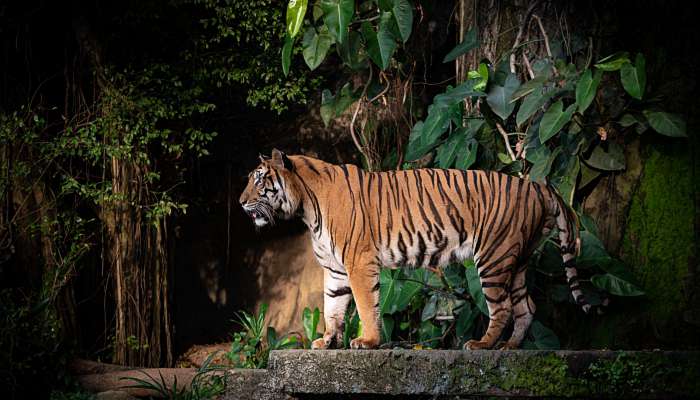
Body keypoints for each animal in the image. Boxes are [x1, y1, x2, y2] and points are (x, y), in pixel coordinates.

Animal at [238, 149, 588, 350]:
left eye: (259, 180)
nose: (241, 203)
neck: (306, 208)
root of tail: (537, 186)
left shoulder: (359, 262)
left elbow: (365, 305)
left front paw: (367, 341)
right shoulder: (335, 269)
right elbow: (333, 307)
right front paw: (327, 341)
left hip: (494, 257)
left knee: (502, 308)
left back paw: (482, 345)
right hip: (516, 260)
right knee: (526, 306)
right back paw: (510, 347)